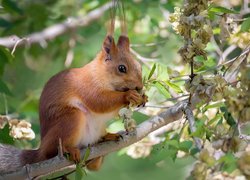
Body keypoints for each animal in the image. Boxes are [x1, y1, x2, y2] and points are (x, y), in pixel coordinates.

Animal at [0, 1, 146, 173]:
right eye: (122, 68)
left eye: (139, 66)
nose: (139, 86)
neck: (99, 74)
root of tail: (39, 152)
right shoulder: (86, 86)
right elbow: (99, 101)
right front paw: (129, 95)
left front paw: (143, 97)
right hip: (70, 120)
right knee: (54, 150)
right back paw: (70, 149)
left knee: (92, 166)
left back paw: (105, 139)